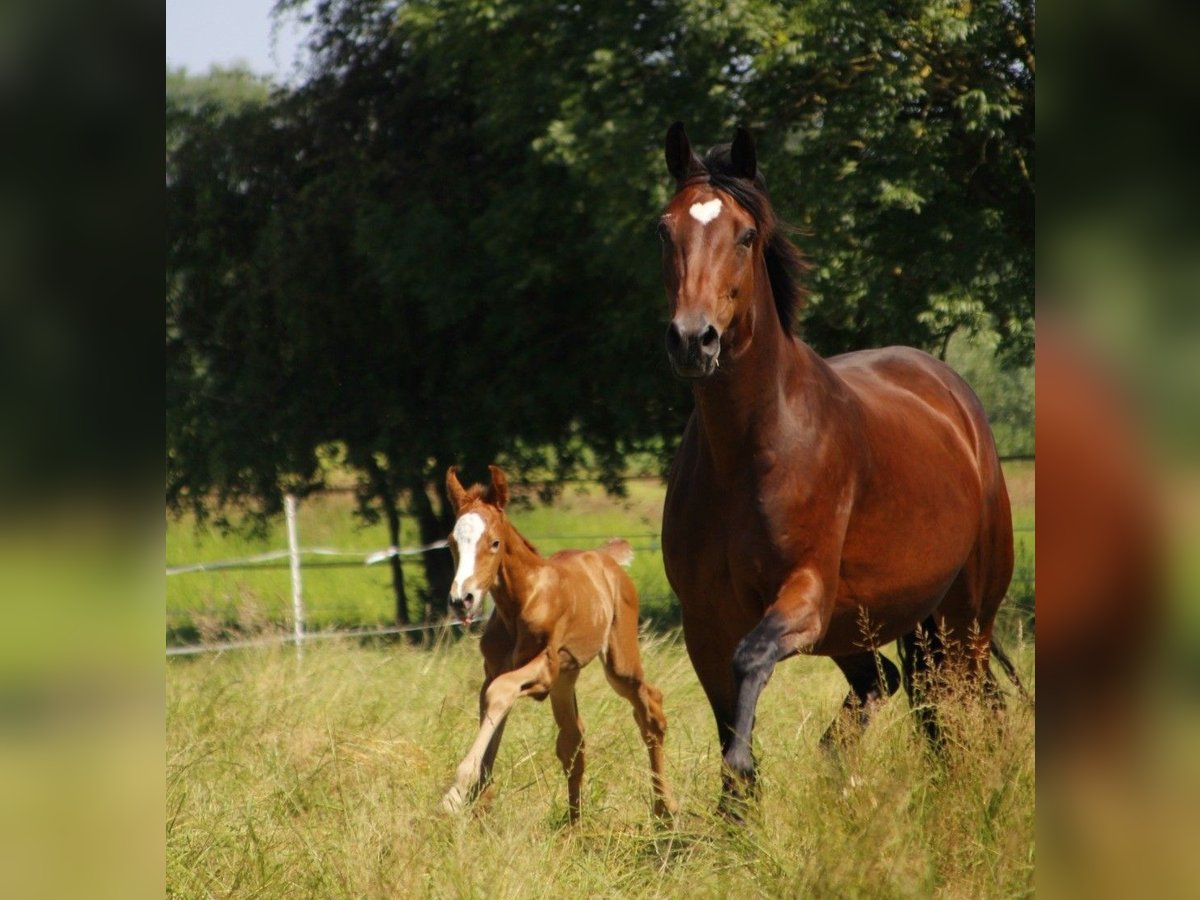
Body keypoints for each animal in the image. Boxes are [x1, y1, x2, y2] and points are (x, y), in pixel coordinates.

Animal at [441, 465, 676, 825]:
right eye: (453, 542)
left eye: (494, 543)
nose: (461, 600)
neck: (522, 601)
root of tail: (605, 557)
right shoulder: (495, 672)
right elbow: (494, 710)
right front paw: (477, 804)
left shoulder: (545, 668)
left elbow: (501, 693)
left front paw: (454, 796)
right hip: (567, 677)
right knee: (573, 740)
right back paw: (574, 826)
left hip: (618, 663)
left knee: (650, 708)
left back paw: (665, 810)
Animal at [662, 125, 1017, 811]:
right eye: (665, 229)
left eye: (746, 234)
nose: (694, 340)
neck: (749, 451)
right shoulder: (704, 621)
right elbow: (726, 710)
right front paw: (737, 808)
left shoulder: (805, 593)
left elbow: (750, 660)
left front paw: (746, 771)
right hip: (866, 625)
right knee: (893, 684)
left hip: (965, 621)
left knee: (963, 708)